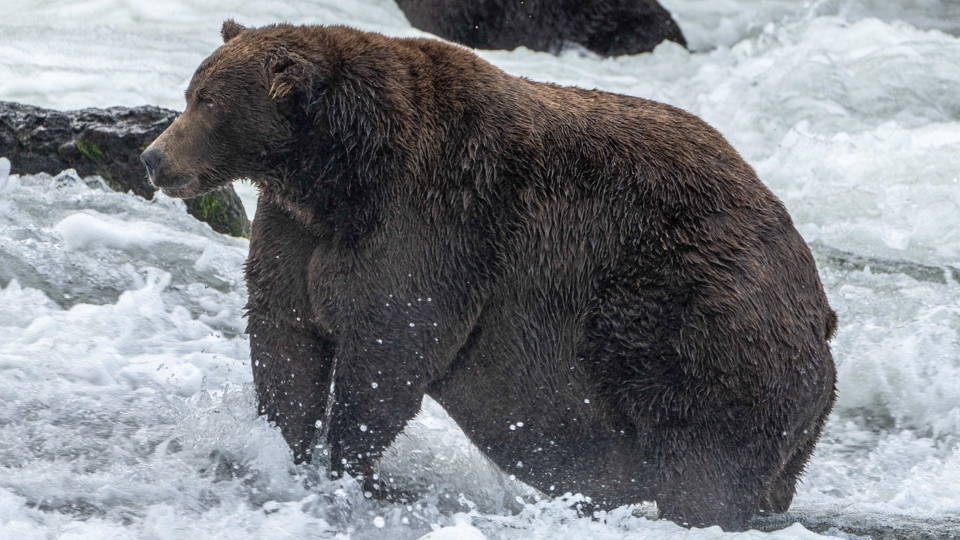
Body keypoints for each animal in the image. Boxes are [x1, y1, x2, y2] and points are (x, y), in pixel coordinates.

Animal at [140, 20, 837, 531]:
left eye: (206, 101)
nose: (152, 157)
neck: (339, 176)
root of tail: (821, 309)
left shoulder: (433, 223)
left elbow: (389, 348)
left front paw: (346, 464)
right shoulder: (297, 233)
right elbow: (285, 338)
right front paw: (282, 450)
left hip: (701, 324)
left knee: (705, 463)